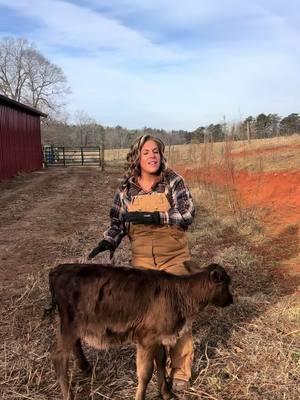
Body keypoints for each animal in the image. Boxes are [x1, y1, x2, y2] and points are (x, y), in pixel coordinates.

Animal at [49, 262, 233, 400]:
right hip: (70, 325)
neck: (179, 294)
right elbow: (145, 373)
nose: (231, 300)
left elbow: (161, 363)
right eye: (226, 283)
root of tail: (59, 269)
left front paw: (166, 394)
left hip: (73, 326)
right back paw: (69, 395)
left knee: (75, 345)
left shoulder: (159, 337)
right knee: (59, 357)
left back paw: (86, 368)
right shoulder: (146, 339)